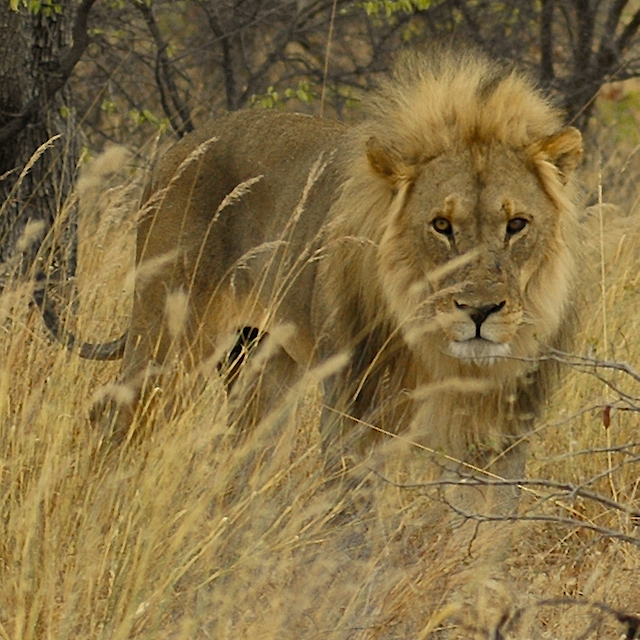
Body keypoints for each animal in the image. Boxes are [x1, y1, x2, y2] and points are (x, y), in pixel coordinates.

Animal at [79, 47, 580, 498]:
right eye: (441, 226)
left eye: (516, 225)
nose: (479, 311)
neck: (438, 350)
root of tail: (174, 150)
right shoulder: (357, 406)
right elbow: (354, 508)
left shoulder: (501, 427)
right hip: (171, 337)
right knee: (114, 415)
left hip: (260, 360)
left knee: (248, 450)